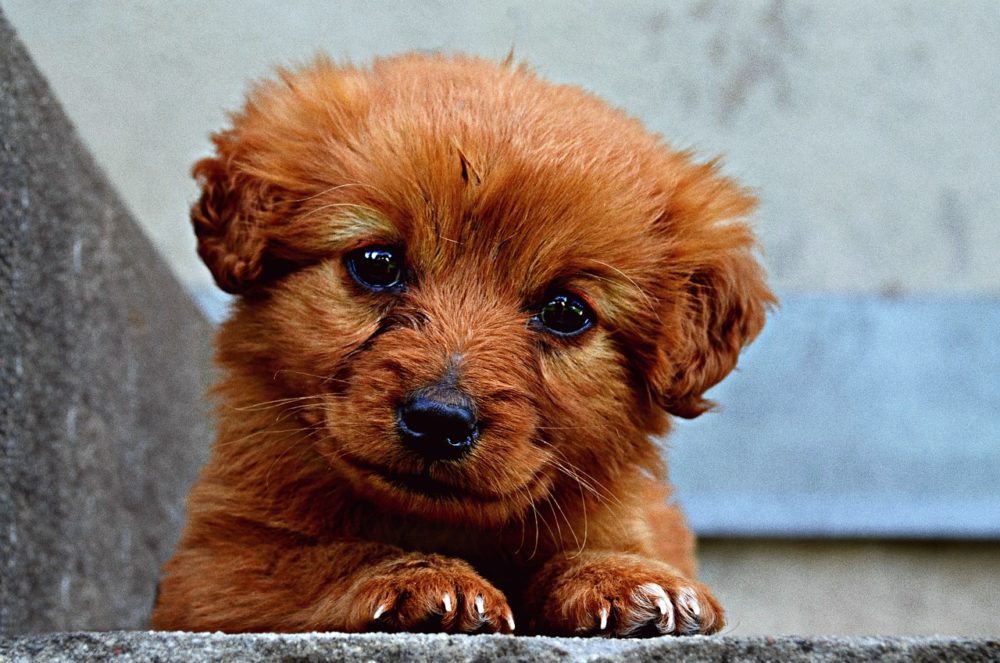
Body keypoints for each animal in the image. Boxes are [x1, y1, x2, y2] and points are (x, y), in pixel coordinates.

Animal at [150, 53, 772, 640]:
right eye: (377, 264)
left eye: (566, 312)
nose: (438, 420)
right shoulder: (211, 569)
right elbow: (325, 557)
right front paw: (422, 577)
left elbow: (598, 549)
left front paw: (626, 577)